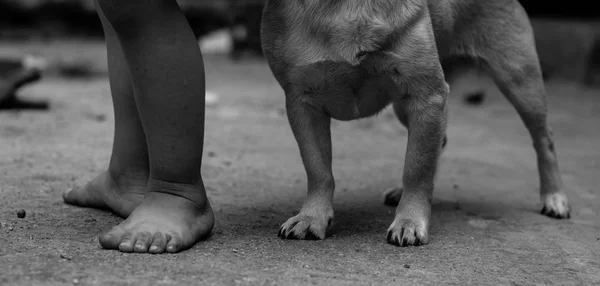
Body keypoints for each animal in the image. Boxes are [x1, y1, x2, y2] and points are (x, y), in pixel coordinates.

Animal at [260, 0, 568, 246]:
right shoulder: (303, 106)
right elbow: (318, 169)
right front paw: (312, 217)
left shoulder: (426, 97)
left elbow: (417, 168)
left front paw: (409, 221)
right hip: (405, 107)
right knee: (440, 141)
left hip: (520, 81)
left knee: (545, 139)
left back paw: (554, 197)